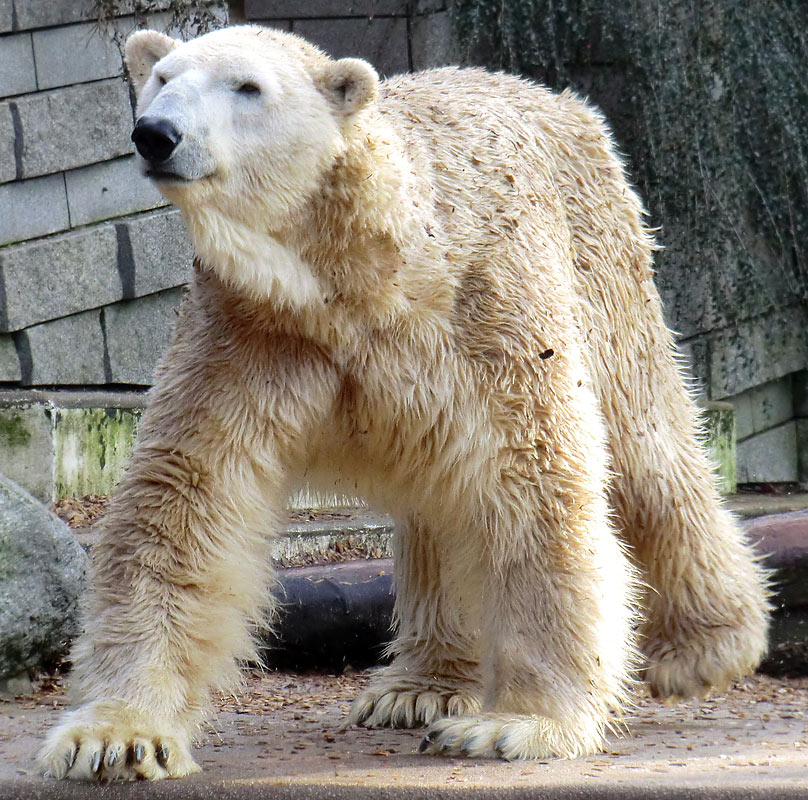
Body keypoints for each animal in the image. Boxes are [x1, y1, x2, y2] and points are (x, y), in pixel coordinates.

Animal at [39, 26, 772, 780]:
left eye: (248, 86)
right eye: (161, 78)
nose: (157, 134)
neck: (364, 271)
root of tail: (553, 95)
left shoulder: (488, 311)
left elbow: (534, 478)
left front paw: (515, 724)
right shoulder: (252, 329)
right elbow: (184, 495)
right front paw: (116, 737)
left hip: (601, 257)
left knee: (646, 441)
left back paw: (709, 645)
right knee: (444, 503)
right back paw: (420, 687)